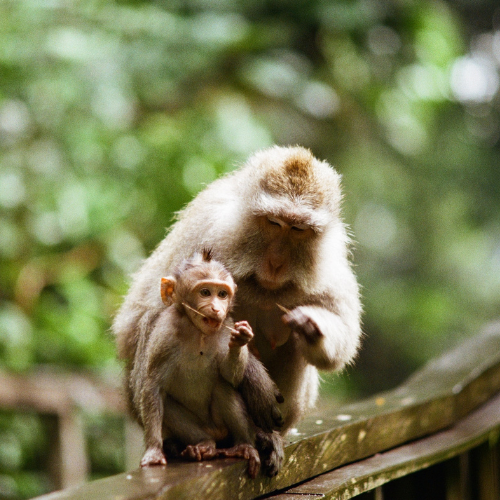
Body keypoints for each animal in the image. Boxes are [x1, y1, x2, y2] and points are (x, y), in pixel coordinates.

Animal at [131, 250, 276, 476]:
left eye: (222, 294)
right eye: (205, 292)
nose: (216, 309)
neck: (197, 332)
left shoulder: (225, 325)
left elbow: (230, 377)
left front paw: (240, 339)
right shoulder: (164, 334)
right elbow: (153, 386)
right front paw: (154, 450)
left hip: (223, 428)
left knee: (223, 389)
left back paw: (244, 445)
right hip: (198, 429)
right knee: (168, 405)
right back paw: (204, 444)